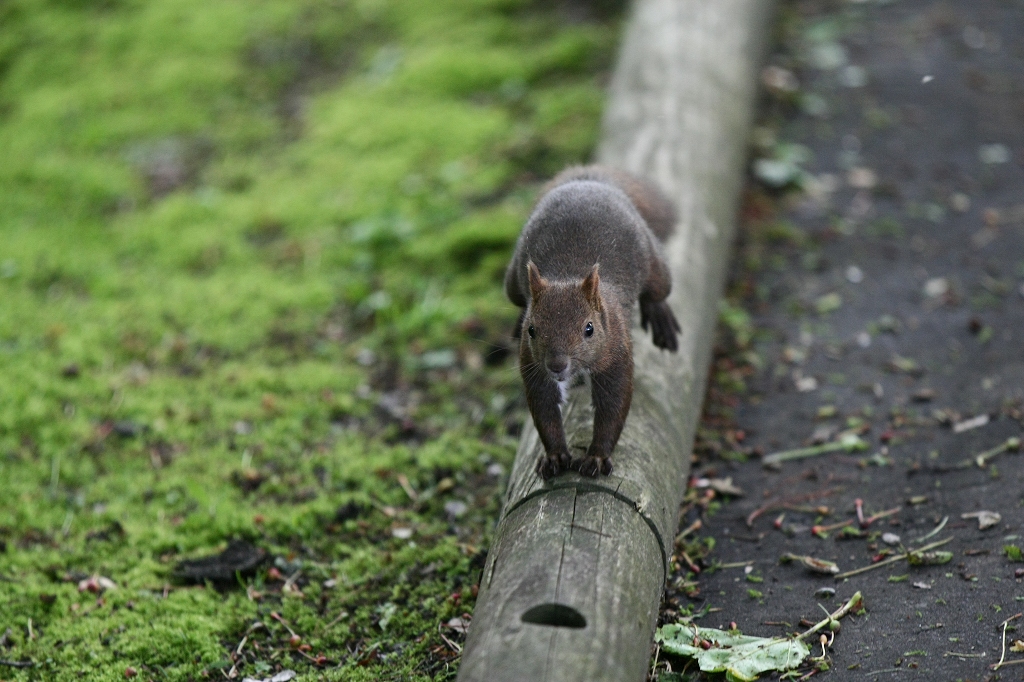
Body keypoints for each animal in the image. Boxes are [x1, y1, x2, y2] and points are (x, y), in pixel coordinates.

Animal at [503, 164, 679, 477]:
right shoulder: (532, 363)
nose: (557, 365)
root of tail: (589, 182)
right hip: (512, 280)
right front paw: (555, 456)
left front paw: (597, 457)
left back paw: (661, 317)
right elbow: (544, 407)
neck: (566, 277)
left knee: (658, 290)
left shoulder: (617, 351)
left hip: (654, 261)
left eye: (589, 328)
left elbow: (613, 405)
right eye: (532, 330)